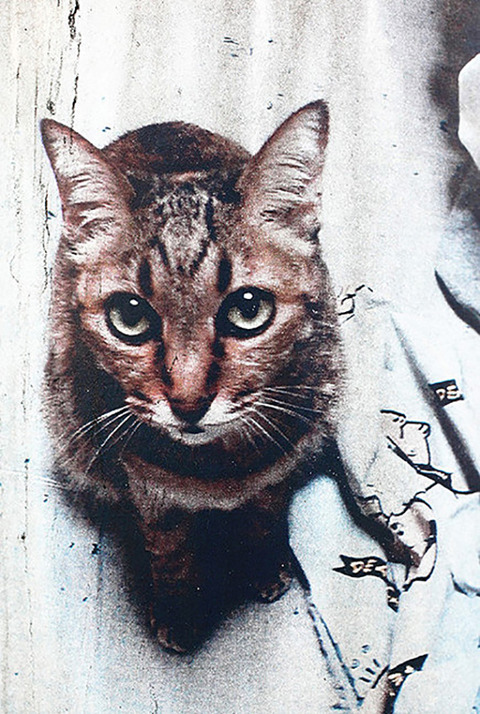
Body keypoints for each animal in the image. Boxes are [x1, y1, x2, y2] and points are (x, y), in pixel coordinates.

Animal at [41, 101, 342, 652]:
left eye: (249, 309)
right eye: (129, 316)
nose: (187, 401)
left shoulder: (285, 456)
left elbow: (266, 509)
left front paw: (261, 561)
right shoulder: (144, 483)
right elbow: (168, 544)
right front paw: (179, 607)